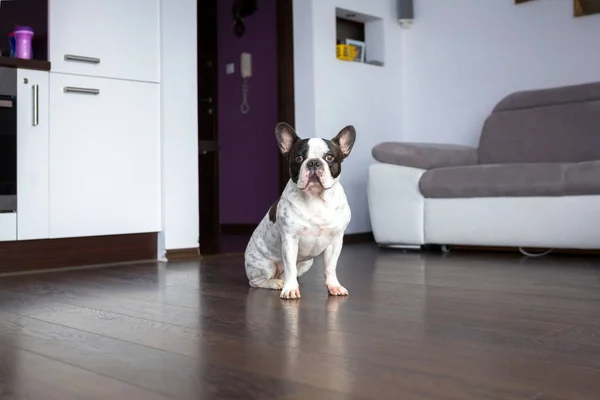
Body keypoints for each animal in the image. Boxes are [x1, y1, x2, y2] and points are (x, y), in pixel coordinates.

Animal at [245, 123, 356, 298]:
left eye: (329, 157)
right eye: (298, 158)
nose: (314, 162)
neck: (317, 198)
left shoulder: (335, 241)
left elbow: (331, 267)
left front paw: (334, 286)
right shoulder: (290, 240)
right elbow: (290, 266)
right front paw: (290, 290)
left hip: (306, 263)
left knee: (287, 273)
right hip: (264, 265)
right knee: (257, 281)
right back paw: (276, 283)